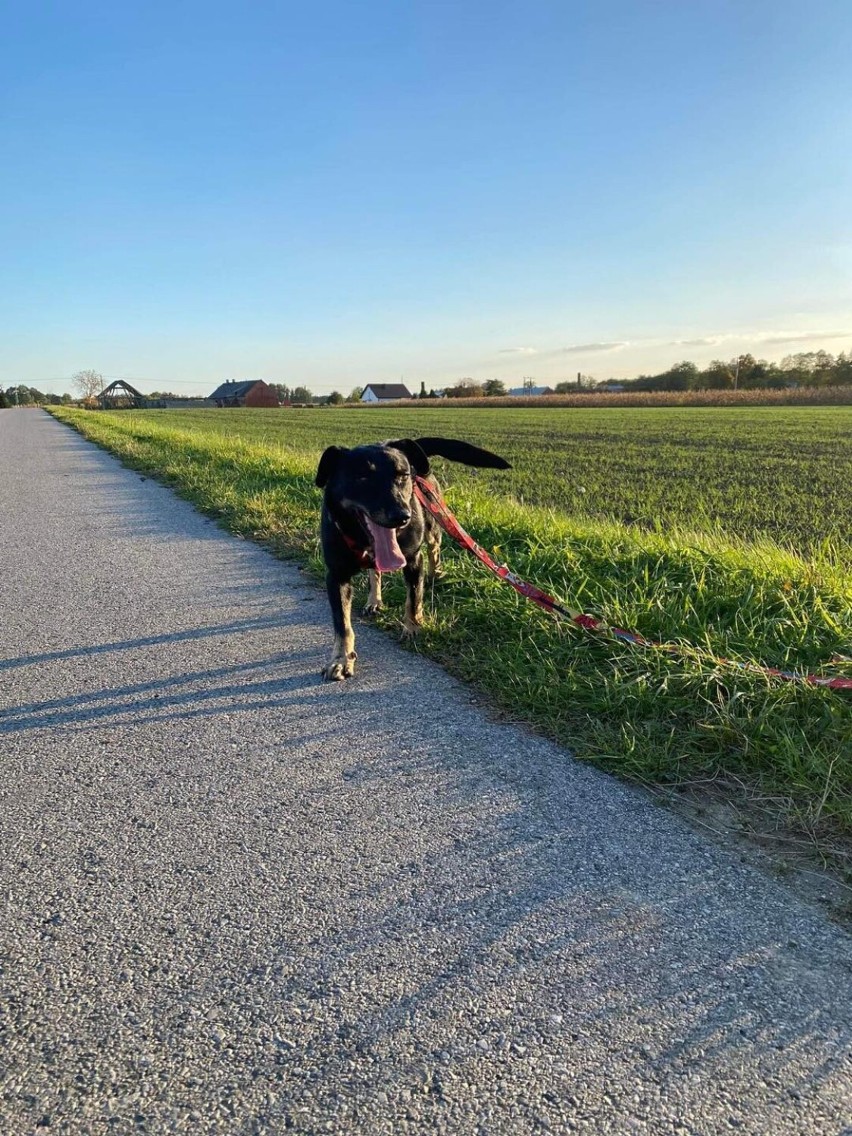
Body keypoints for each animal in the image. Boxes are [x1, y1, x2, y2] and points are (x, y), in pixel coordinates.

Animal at [315, 438, 511, 677]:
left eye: (403, 475)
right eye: (362, 477)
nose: (402, 516)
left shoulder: (414, 561)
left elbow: (413, 598)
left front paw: (413, 628)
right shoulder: (336, 575)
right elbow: (342, 624)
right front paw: (341, 659)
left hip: (434, 522)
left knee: (434, 550)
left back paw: (435, 575)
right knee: (375, 572)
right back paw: (374, 601)